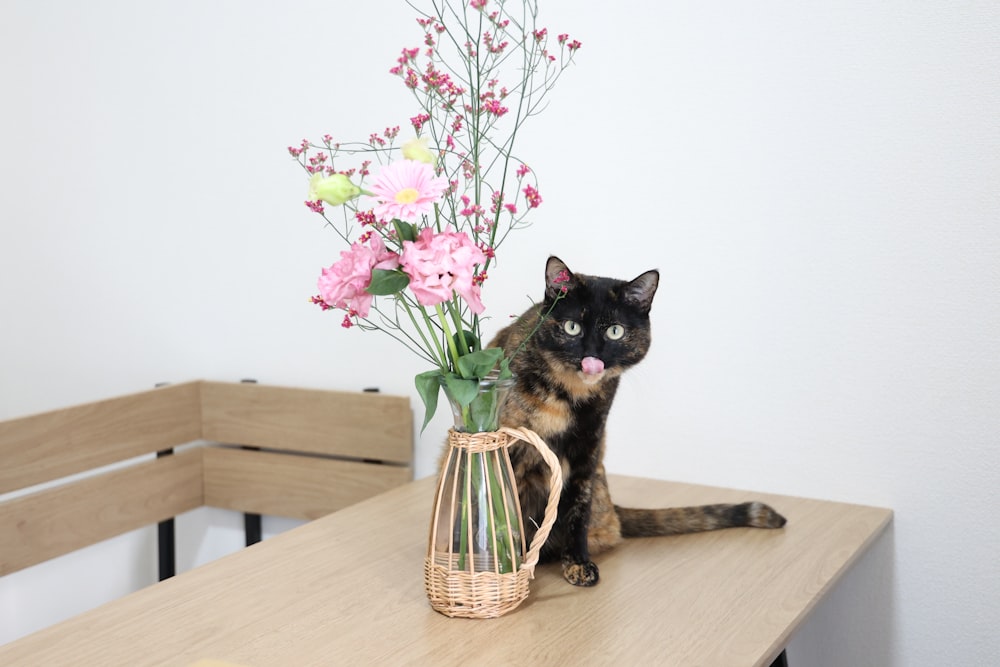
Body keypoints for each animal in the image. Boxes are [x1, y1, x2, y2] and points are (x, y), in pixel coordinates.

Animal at [488, 258, 784, 588]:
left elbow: (578, 509)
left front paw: (578, 563)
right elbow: (502, 504)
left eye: (615, 332)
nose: (592, 356)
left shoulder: (588, 448)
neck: (569, 393)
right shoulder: (508, 444)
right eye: (572, 327)